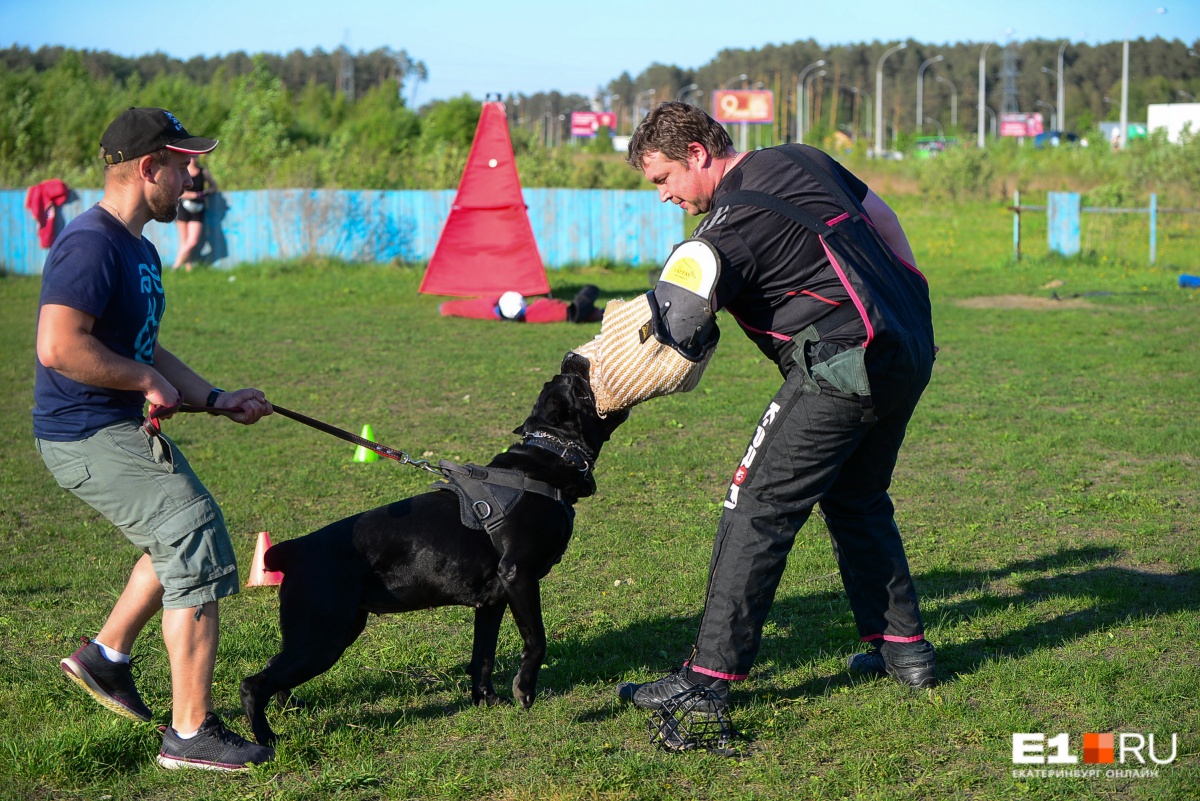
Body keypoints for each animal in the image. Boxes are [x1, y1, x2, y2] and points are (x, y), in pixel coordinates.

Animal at [238, 352, 624, 743]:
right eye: (579, 385)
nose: (571, 357)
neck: (549, 456)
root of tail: (294, 549)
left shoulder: (493, 601)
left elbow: (483, 656)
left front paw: (486, 700)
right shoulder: (520, 576)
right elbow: (537, 640)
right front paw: (524, 689)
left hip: (323, 634)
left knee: (274, 671)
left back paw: (290, 707)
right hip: (323, 638)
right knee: (252, 685)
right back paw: (267, 739)